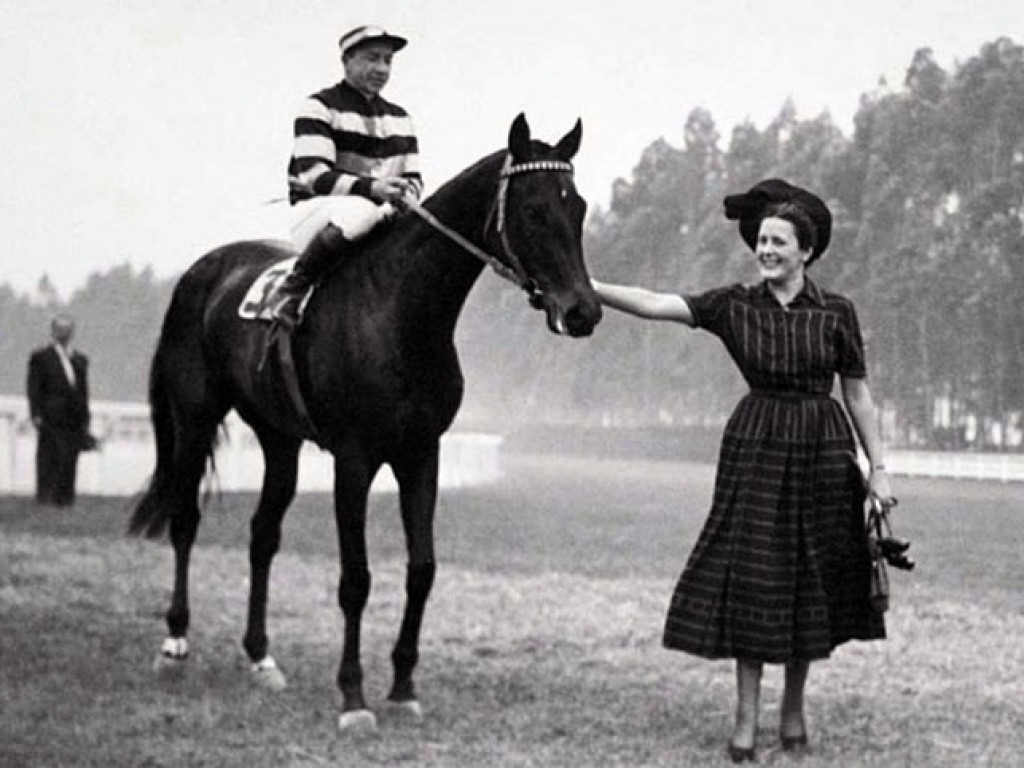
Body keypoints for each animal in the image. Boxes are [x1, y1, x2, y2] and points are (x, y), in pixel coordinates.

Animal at [126, 114, 598, 733]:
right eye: (534, 210)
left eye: (579, 207)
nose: (583, 311)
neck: (399, 315)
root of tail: (200, 273)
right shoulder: (354, 459)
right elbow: (356, 580)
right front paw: (353, 697)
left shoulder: (422, 453)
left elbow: (422, 569)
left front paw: (402, 688)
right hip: (195, 416)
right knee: (185, 519)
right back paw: (174, 645)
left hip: (279, 438)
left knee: (262, 534)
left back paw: (261, 657)